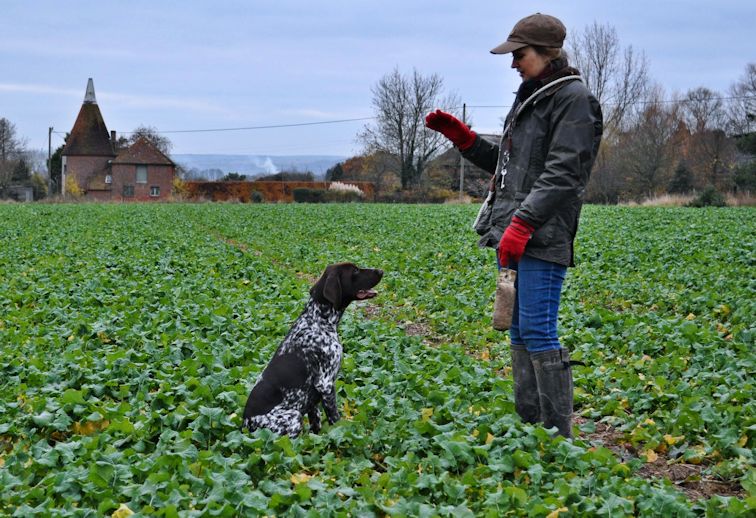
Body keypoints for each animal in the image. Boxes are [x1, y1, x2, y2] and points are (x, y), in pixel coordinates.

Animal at [244, 264, 384, 438]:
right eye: (355, 271)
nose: (381, 271)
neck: (318, 321)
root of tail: (245, 427)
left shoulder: (312, 400)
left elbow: (315, 426)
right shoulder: (325, 384)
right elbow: (335, 420)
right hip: (293, 417)